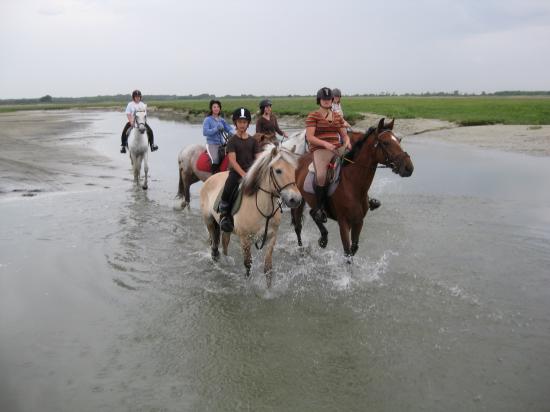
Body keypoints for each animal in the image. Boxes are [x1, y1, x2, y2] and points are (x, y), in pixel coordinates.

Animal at [199, 146, 302, 288]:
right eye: (278, 170)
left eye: (294, 170)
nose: (295, 200)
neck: (262, 207)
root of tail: (210, 178)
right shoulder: (245, 239)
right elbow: (248, 264)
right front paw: (248, 284)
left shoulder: (272, 237)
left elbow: (268, 268)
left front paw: (269, 289)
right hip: (209, 221)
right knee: (214, 245)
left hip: (226, 228)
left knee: (224, 243)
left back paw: (226, 261)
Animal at [294, 116, 414, 258]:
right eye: (385, 143)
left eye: (399, 140)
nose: (409, 168)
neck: (352, 184)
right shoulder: (343, 224)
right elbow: (347, 254)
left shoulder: (358, 222)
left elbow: (354, 248)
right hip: (298, 202)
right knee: (298, 227)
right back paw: (301, 250)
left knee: (313, 214)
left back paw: (323, 239)